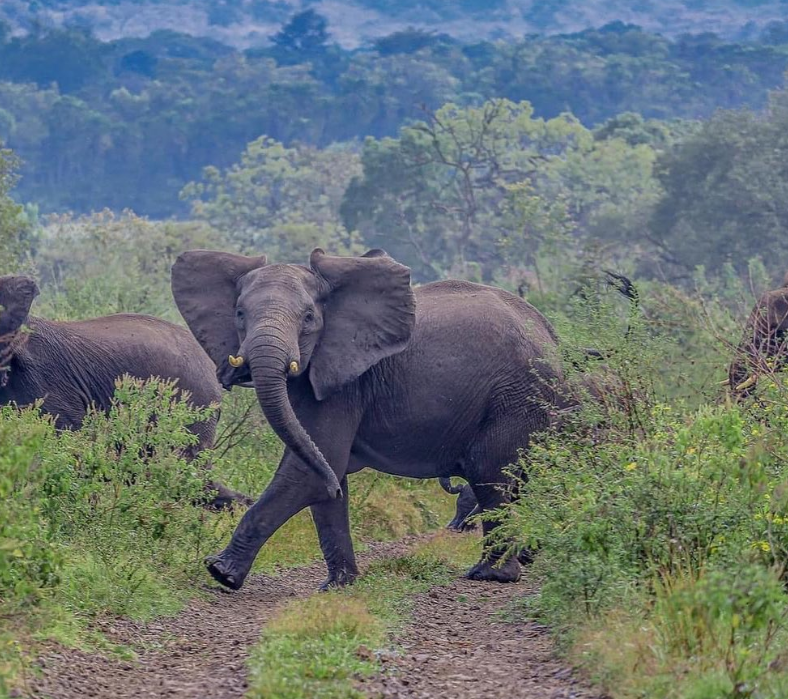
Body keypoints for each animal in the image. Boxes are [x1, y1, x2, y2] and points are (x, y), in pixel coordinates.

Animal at [172, 246, 580, 592]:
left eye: (309, 318)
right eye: (239, 314)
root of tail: (553, 337)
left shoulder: (346, 383)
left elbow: (310, 470)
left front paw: (220, 573)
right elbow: (322, 469)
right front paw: (338, 586)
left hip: (515, 396)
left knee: (490, 475)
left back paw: (489, 575)